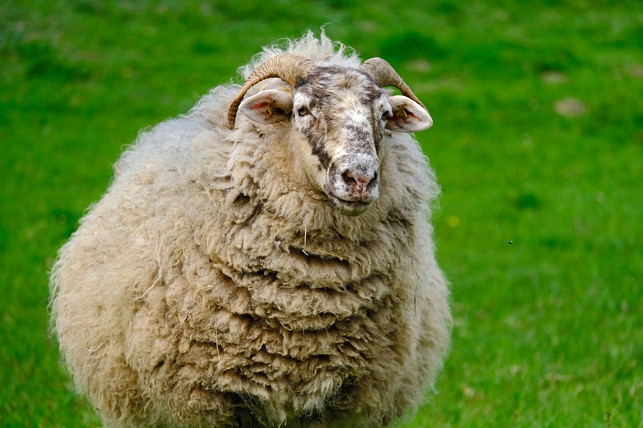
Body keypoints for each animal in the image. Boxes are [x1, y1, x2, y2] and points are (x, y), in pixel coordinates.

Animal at [50, 31, 451, 428]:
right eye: (302, 110)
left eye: (384, 115)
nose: (361, 178)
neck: (303, 303)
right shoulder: (204, 399)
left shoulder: (343, 403)